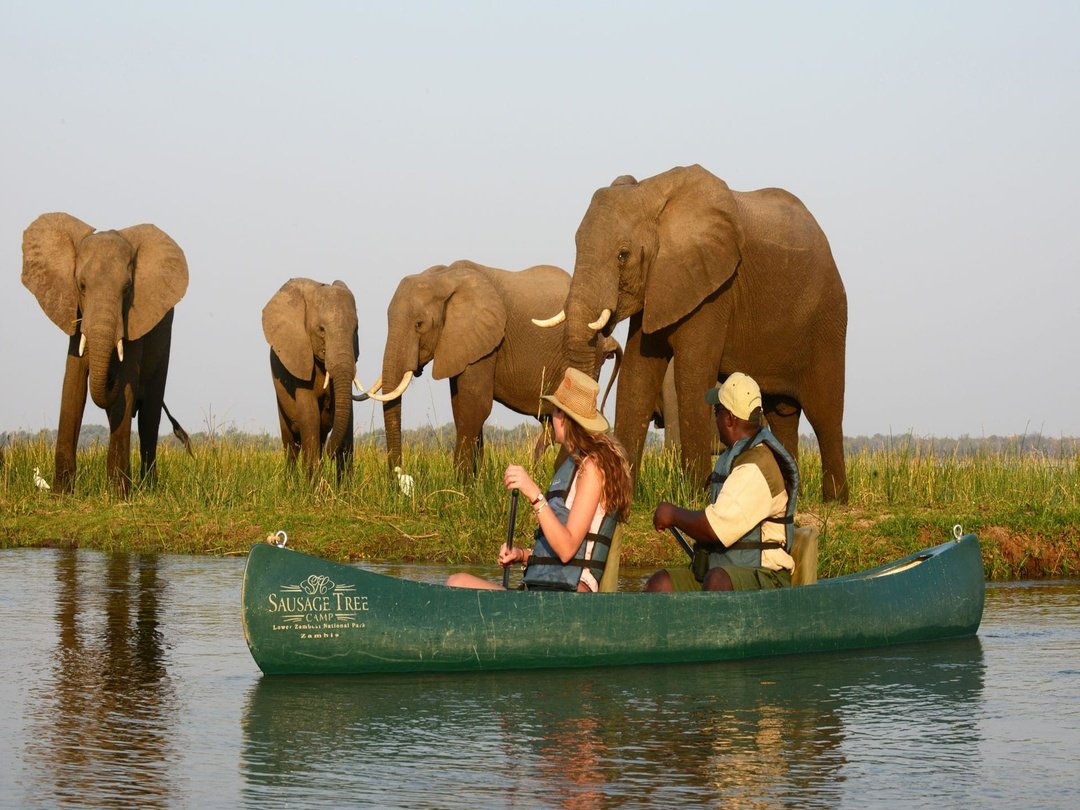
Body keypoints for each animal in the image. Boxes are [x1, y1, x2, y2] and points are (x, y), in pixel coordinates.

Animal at [21, 212, 191, 495]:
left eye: (127, 288)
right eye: (81, 285)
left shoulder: (135, 320)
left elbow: (126, 388)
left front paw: (119, 495)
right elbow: (73, 384)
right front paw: (62, 494)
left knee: (149, 414)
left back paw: (148, 488)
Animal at [262, 278, 365, 482]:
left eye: (356, 329)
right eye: (321, 330)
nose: (330, 453)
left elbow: (347, 419)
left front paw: (345, 489)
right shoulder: (298, 363)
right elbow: (310, 417)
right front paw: (313, 487)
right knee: (292, 444)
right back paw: (292, 483)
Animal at [366, 260, 620, 478]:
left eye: (419, 324)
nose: (397, 479)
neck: (444, 277)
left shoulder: (486, 340)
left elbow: (474, 406)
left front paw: (461, 487)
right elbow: (461, 406)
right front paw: (475, 483)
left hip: (590, 350)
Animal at [538, 165, 849, 501]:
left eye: (623, 255)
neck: (653, 195)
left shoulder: (713, 288)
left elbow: (692, 372)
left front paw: (695, 495)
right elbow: (637, 374)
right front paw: (623, 490)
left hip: (828, 317)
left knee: (824, 412)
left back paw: (835, 500)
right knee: (783, 417)